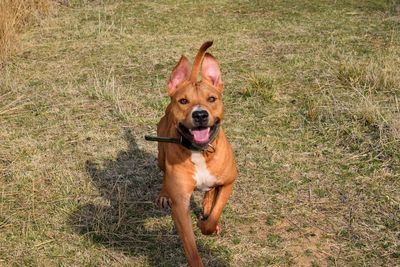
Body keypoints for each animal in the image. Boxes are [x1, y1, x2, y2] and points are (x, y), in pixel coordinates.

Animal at [155, 40, 236, 266]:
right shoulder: (180, 205)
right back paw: (164, 194)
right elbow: (191, 248)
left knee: (211, 192)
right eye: (183, 101)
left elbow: (215, 212)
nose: (200, 114)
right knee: (163, 171)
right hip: (161, 155)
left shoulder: (229, 182)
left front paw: (207, 223)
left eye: (212, 98)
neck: (200, 151)